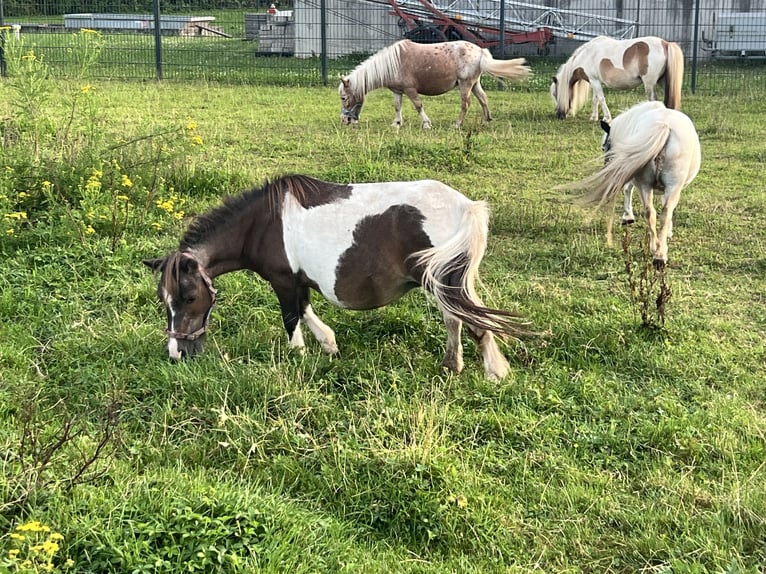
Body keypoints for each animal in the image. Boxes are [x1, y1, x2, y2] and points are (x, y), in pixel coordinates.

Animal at [142, 176, 536, 382]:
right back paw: (452, 364)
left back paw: (492, 372)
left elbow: (292, 319)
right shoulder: (298, 281)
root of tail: (466, 207)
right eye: (164, 301)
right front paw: (329, 346)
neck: (261, 223)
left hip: (444, 282)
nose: (177, 352)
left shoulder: (283, 280)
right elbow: (306, 311)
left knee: (473, 322)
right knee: (456, 320)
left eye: (189, 298)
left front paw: (300, 355)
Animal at [340, 40, 532, 129]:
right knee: (483, 100)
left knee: (466, 104)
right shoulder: (398, 91)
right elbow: (397, 106)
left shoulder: (410, 90)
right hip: (475, 84)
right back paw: (485, 121)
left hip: (465, 85)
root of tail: (480, 51)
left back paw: (456, 124)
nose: (345, 120)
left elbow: (418, 106)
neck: (393, 63)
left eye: (343, 98)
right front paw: (397, 123)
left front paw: (426, 124)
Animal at [548, 36, 688, 122]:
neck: (587, 55)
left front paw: (607, 118)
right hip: (664, 81)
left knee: (653, 100)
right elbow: (595, 100)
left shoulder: (594, 81)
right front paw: (594, 117)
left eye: (555, 94)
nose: (558, 115)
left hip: (649, 84)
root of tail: (665, 43)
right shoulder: (595, 82)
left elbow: (601, 99)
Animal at [568, 102, 704, 270]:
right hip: (660, 184)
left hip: (649, 184)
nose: (606, 165)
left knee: (652, 213)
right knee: (660, 213)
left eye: (603, 147)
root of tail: (664, 126)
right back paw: (659, 253)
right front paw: (628, 217)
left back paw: (657, 253)